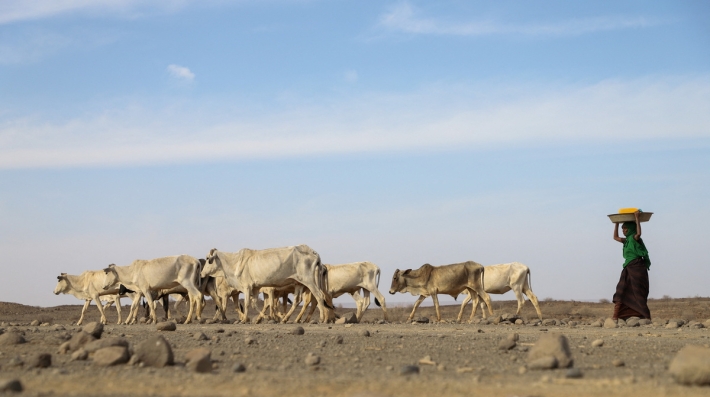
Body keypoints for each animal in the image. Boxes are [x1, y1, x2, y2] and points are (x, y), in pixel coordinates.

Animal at [200, 244, 334, 322]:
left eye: (207, 259)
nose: (201, 273)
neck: (234, 262)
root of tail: (314, 253)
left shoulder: (247, 287)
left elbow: (247, 304)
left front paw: (245, 319)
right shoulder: (255, 288)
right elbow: (255, 304)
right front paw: (265, 317)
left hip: (309, 281)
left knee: (319, 296)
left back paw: (322, 318)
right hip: (298, 284)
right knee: (297, 301)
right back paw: (285, 318)